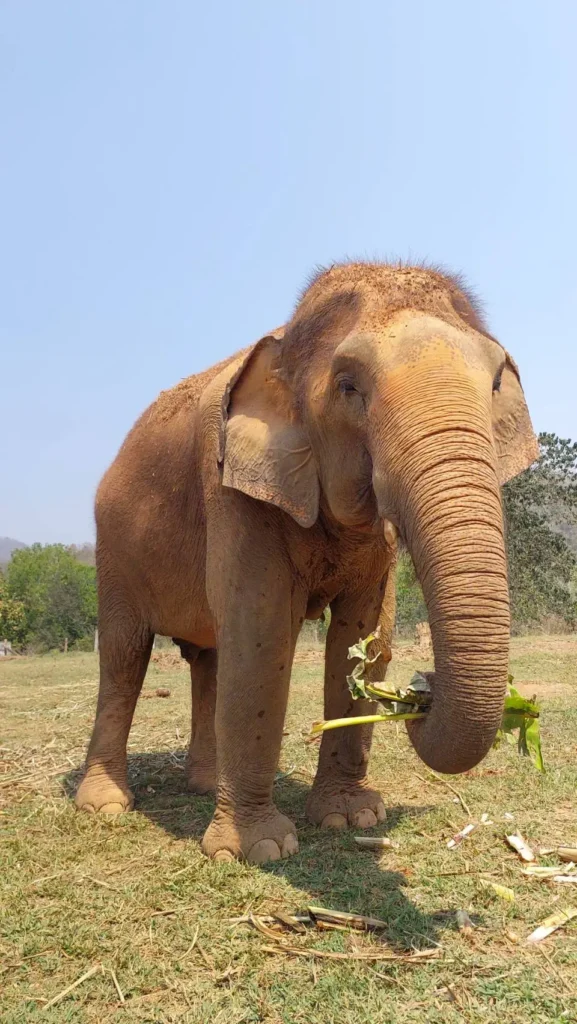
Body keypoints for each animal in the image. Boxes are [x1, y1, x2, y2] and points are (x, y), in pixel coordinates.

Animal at [75, 261, 538, 864]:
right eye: (348, 387)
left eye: (495, 384)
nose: (423, 691)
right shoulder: (236, 491)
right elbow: (263, 630)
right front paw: (260, 851)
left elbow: (365, 634)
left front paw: (351, 817)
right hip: (113, 548)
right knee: (125, 654)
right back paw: (104, 806)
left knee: (208, 657)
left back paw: (202, 784)